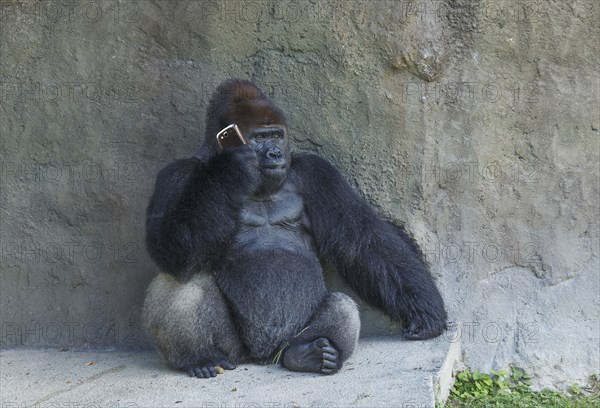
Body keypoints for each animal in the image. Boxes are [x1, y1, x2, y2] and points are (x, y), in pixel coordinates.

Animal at [143, 79, 446, 380]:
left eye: (277, 136)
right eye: (259, 138)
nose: (275, 153)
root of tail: (263, 357)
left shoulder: (318, 173)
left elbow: (363, 241)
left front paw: (425, 309)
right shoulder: (174, 175)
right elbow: (167, 248)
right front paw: (229, 169)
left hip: (289, 338)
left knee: (340, 306)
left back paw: (307, 354)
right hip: (234, 352)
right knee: (184, 281)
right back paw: (200, 358)